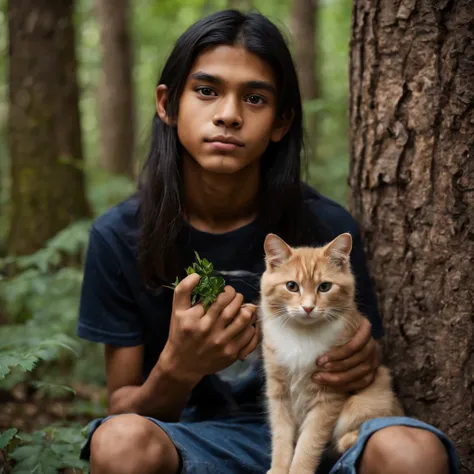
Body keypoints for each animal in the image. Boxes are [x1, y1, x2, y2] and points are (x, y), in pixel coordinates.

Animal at [260, 232, 404, 474]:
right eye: (291, 286)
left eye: (325, 287)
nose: (308, 308)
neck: (301, 335)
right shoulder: (279, 393)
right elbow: (281, 438)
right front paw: (279, 469)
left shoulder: (328, 398)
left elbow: (308, 443)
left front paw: (299, 470)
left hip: (364, 402)